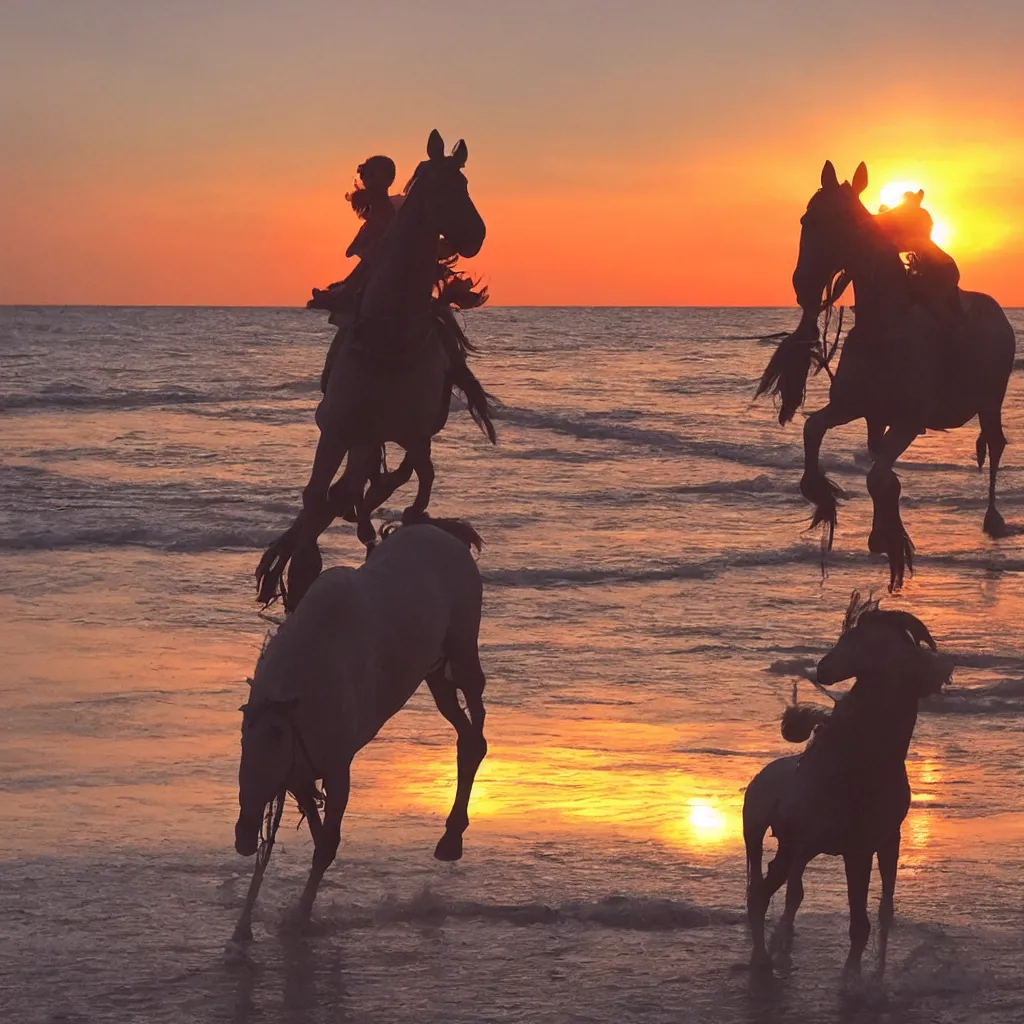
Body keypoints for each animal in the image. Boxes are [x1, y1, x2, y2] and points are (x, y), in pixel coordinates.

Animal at [232, 520, 487, 942]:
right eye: (241, 749)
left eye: (272, 744)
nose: (243, 836)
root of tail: (446, 533)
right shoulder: (301, 773)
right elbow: (319, 836)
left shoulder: (338, 770)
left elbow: (327, 845)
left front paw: (300, 918)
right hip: (434, 672)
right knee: (466, 734)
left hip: (462, 652)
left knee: (476, 737)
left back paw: (452, 840)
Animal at [256, 126, 495, 606]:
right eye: (441, 186)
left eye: (465, 184)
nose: (475, 235)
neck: (390, 336)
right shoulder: (336, 429)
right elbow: (315, 499)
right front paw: (300, 572)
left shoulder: (415, 434)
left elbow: (417, 484)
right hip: (360, 437)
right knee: (341, 490)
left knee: (385, 479)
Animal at [745, 593, 950, 974]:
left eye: (859, 640)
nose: (822, 668)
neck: (863, 765)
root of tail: (760, 778)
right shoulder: (854, 848)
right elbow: (854, 923)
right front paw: (852, 978)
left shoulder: (886, 841)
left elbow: (882, 912)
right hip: (762, 833)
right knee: (760, 893)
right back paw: (765, 959)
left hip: (795, 848)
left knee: (776, 889)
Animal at [757, 160, 1011, 593]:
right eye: (807, 219)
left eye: (836, 222)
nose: (802, 285)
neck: (884, 329)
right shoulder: (851, 407)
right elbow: (814, 430)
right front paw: (821, 494)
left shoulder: (909, 421)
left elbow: (880, 477)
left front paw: (887, 539)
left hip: (991, 402)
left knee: (994, 446)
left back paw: (993, 517)